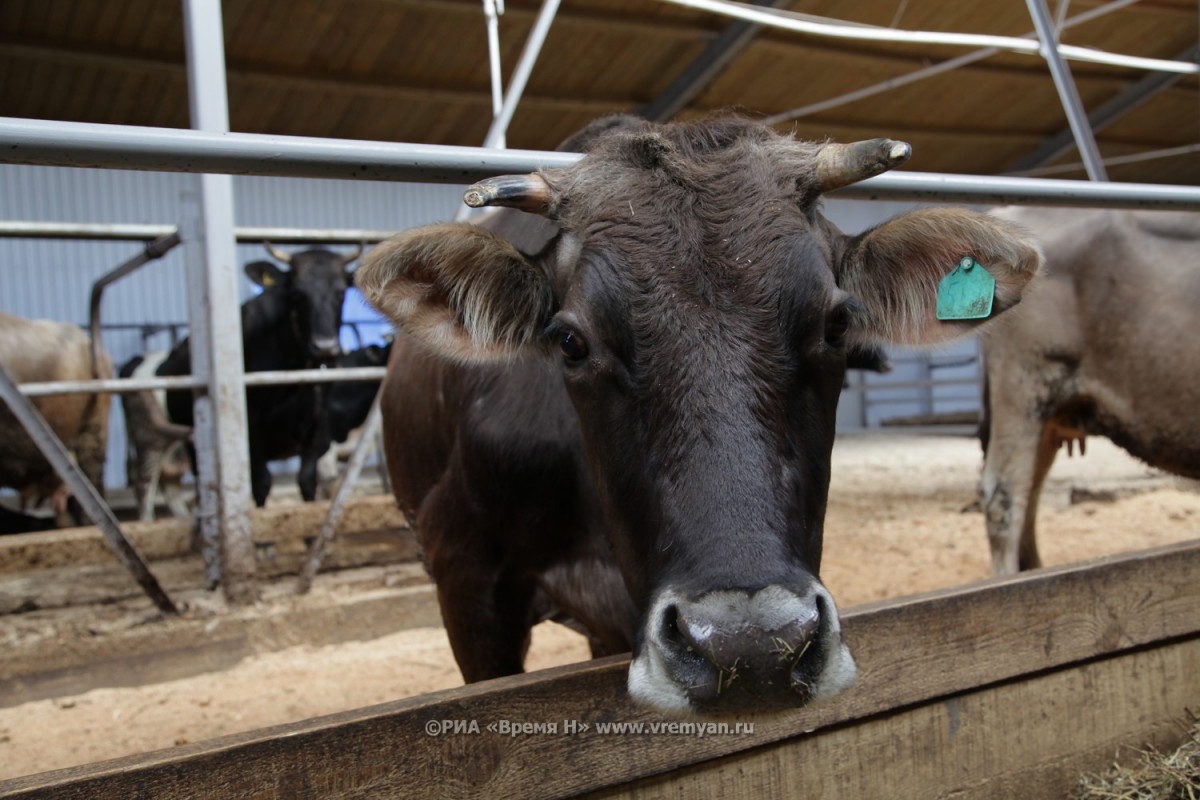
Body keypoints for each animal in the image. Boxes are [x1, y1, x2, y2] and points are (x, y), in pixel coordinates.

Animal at [158, 242, 360, 506]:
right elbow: (262, 483)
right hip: (191, 440)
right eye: (297, 293)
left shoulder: (318, 427)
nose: (325, 347)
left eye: (341, 292)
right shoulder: (251, 427)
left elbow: (307, 480)